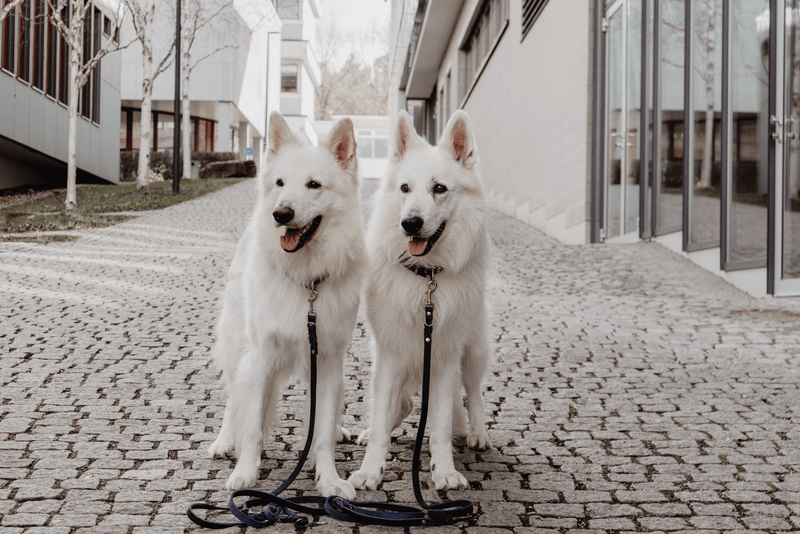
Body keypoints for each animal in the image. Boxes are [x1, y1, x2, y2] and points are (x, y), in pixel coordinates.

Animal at [209, 112, 366, 502]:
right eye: (280, 182)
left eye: (314, 185)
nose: (281, 214)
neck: (306, 279)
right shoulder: (262, 354)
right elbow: (251, 424)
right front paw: (245, 474)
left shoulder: (327, 360)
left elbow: (320, 430)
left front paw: (328, 480)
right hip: (238, 348)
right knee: (234, 395)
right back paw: (224, 441)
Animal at [350, 109, 494, 494]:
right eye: (404, 188)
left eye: (439, 189)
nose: (410, 224)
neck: (425, 276)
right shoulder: (390, 354)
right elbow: (383, 417)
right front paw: (370, 470)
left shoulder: (445, 357)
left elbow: (441, 423)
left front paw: (444, 471)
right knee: (398, 404)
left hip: (473, 350)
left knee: (473, 391)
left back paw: (478, 434)